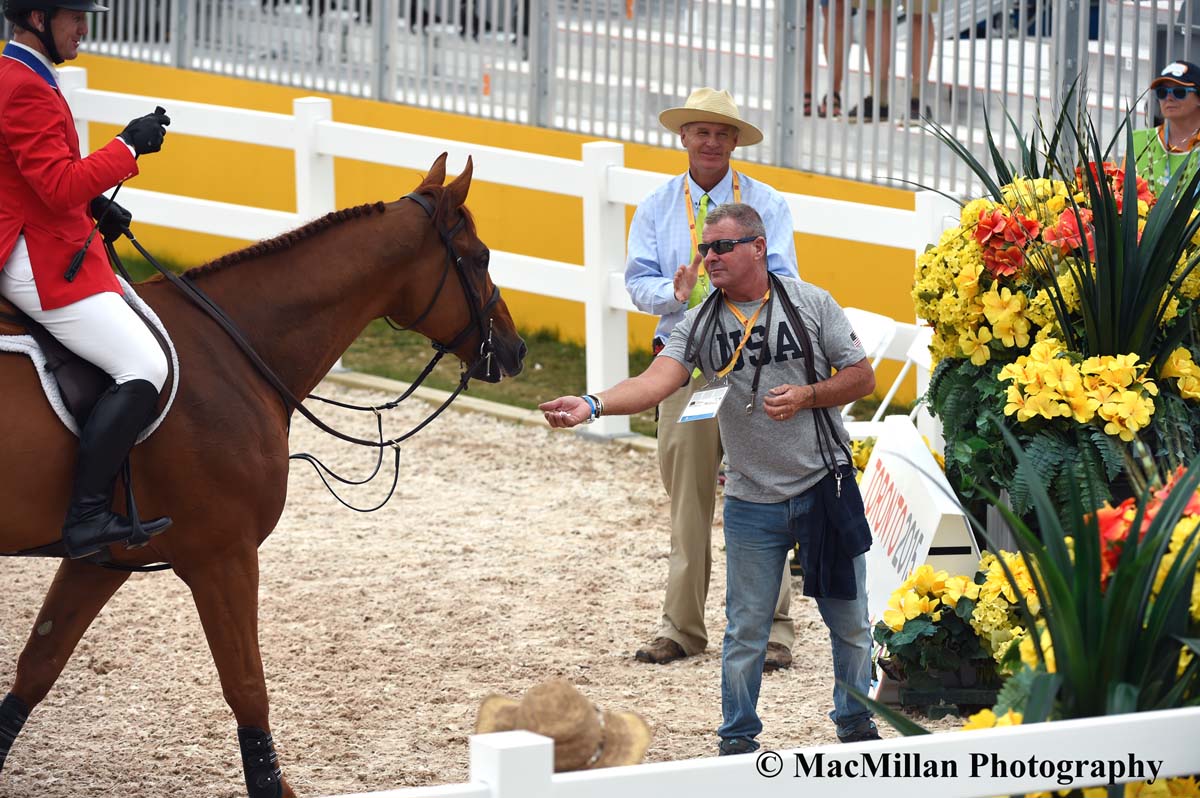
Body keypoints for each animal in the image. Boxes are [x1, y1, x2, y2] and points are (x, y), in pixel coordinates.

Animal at [0, 152, 528, 792]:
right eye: (480, 258)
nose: (516, 349)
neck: (229, 349)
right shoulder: (223, 556)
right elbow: (249, 691)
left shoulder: (102, 558)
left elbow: (37, 667)